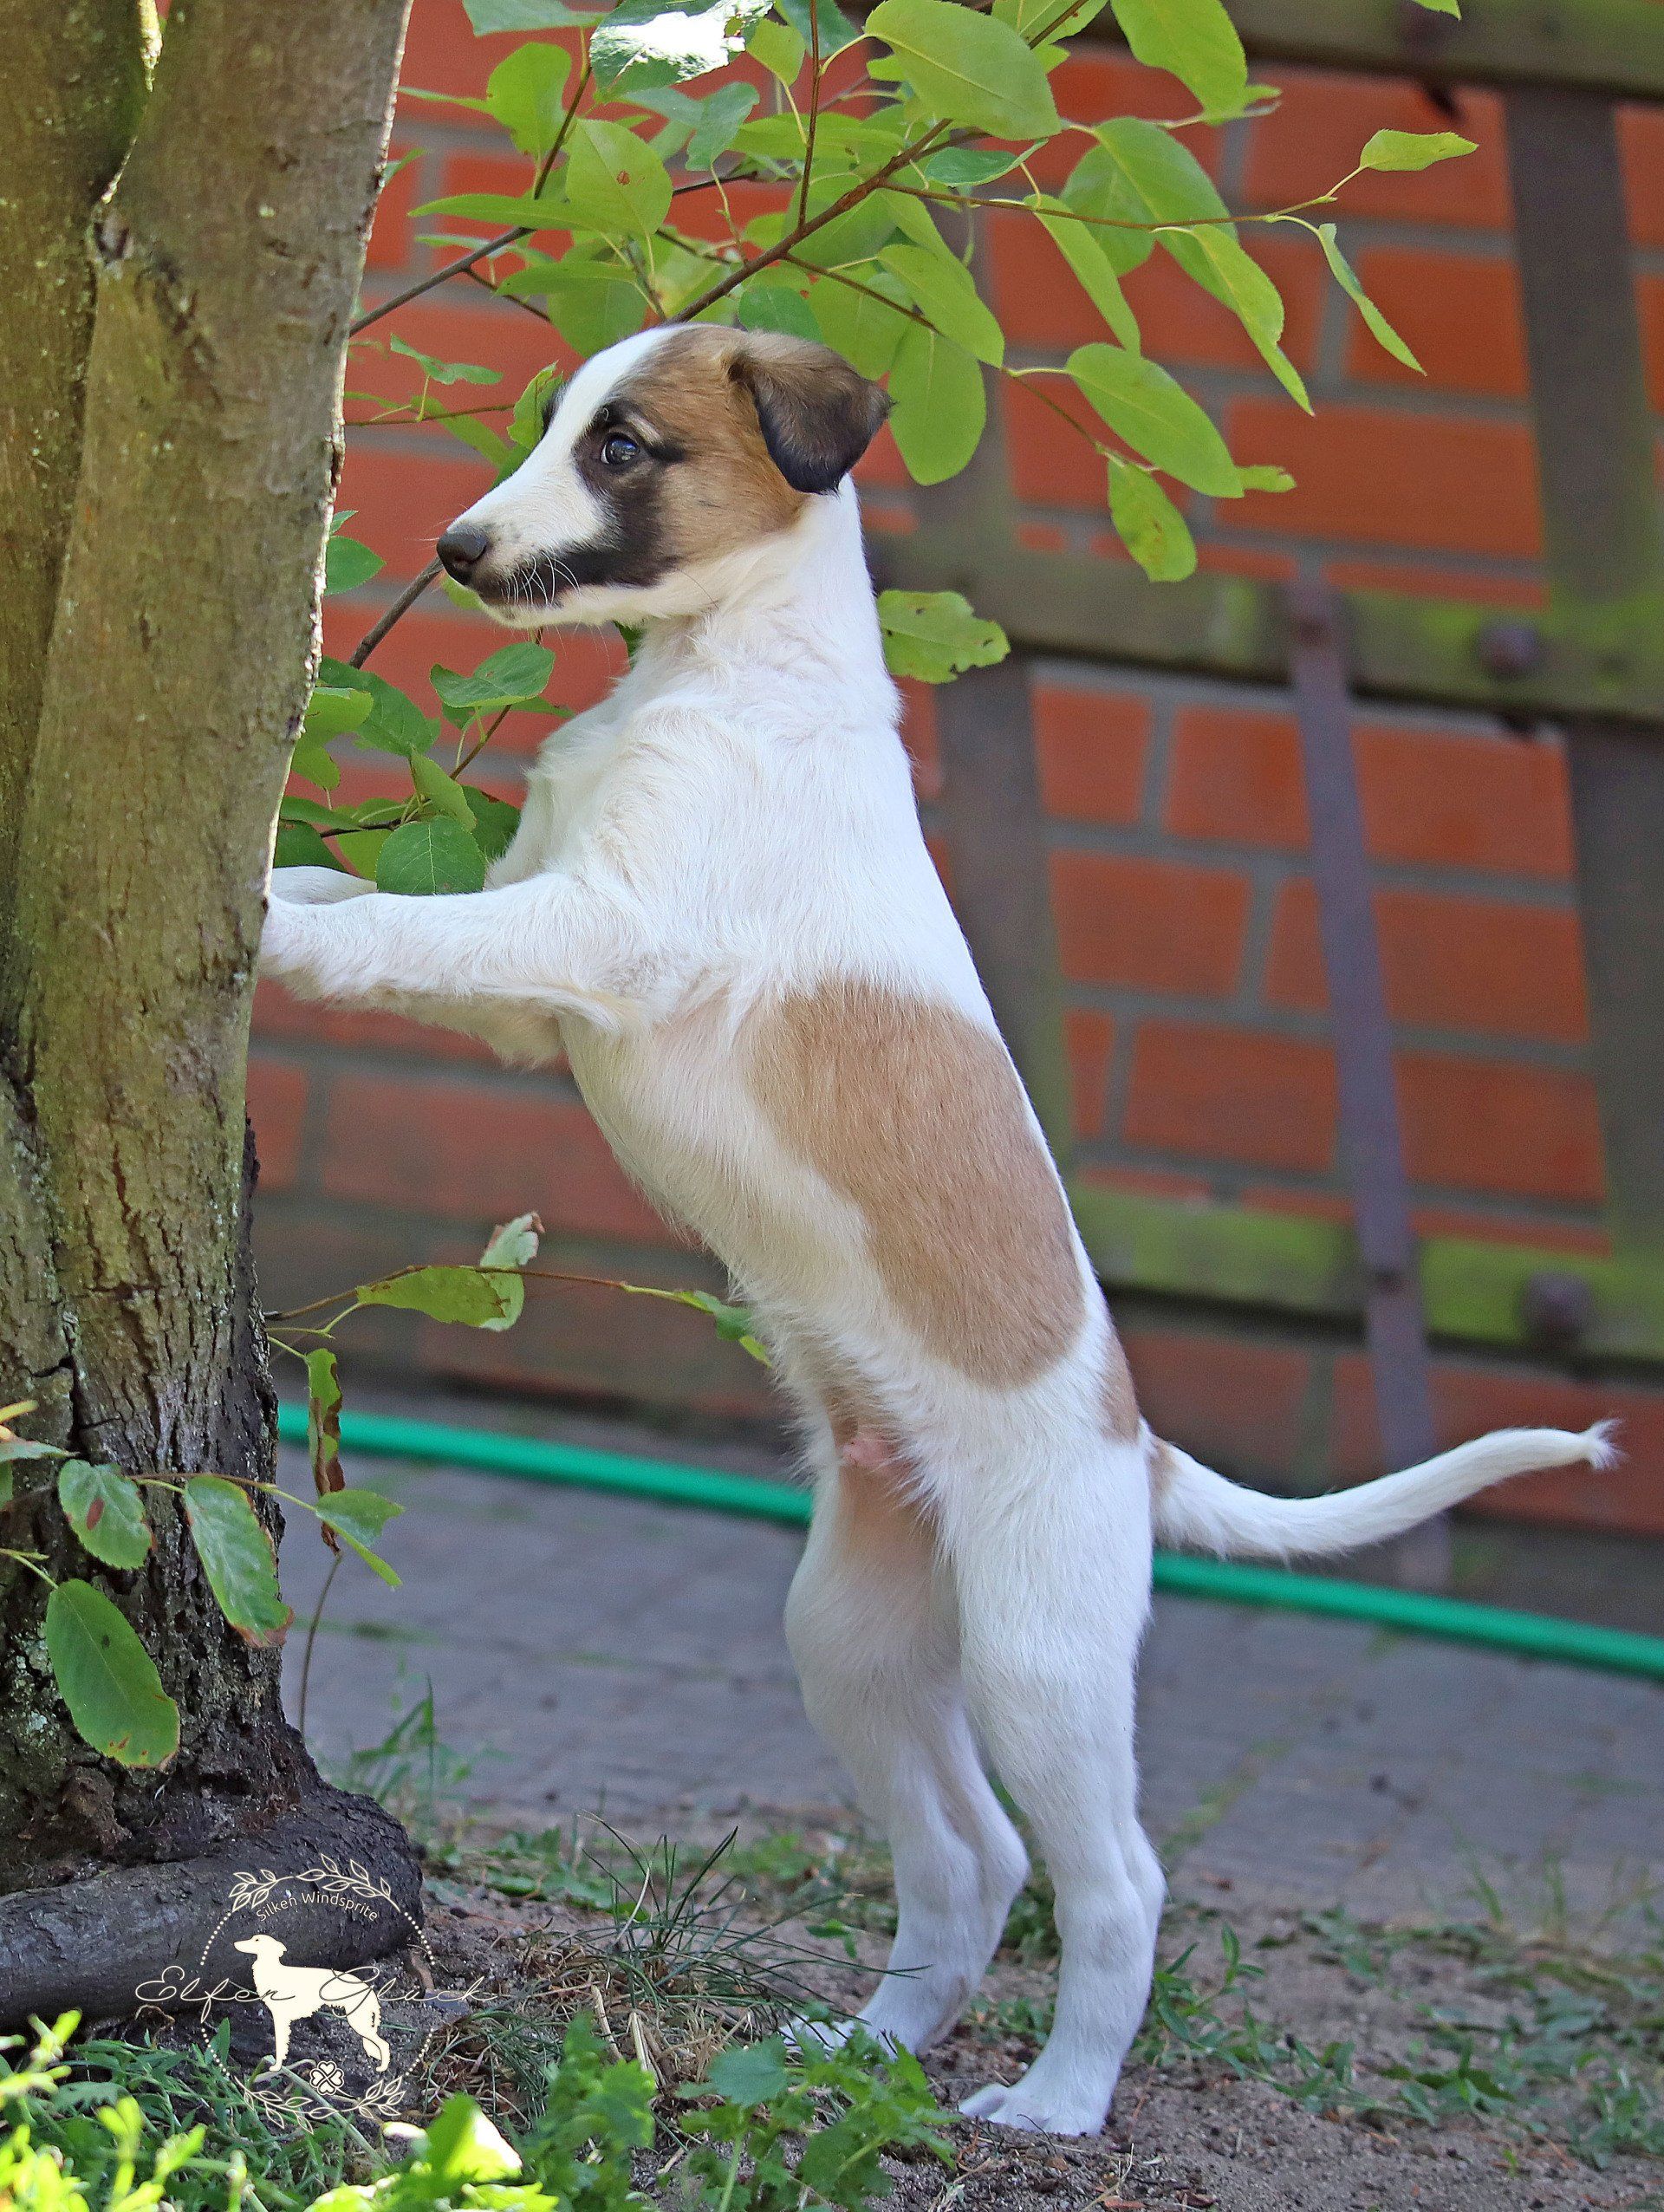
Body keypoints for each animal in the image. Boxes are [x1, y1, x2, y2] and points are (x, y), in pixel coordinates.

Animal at [232, 1933, 392, 2072]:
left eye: (256, 1940)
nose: (235, 1944)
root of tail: (369, 1991)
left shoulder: (281, 2017)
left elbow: (281, 2044)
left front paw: (276, 2067)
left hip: (358, 2021)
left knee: (383, 2044)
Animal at [261, 324, 1612, 2134]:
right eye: (556, 424)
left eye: (621, 448)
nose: (455, 550)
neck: (726, 670)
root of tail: (1135, 1440)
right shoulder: (534, 997)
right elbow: (381, 915)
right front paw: (272, 881)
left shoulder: (595, 932)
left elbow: (390, 928)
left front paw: (265, 927)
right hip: (855, 1635)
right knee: (968, 1859)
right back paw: (867, 2053)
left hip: (1041, 1662)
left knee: (1111, 1883)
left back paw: (1055, 2101)